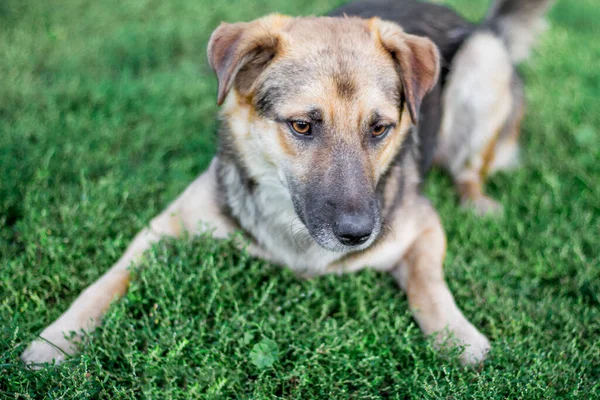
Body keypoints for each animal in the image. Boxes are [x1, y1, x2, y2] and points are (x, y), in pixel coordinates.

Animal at [22, 0, 548, 368]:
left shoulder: (421, 227)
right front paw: (57, 339)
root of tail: (474, 23)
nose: (358, 234)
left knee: (470, 169)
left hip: (483, 62)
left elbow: (428, 282)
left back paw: (478, 203)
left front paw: (458, 336)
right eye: (302, 126)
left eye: (379, 128)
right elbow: (106, 282)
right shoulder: (165, 227)